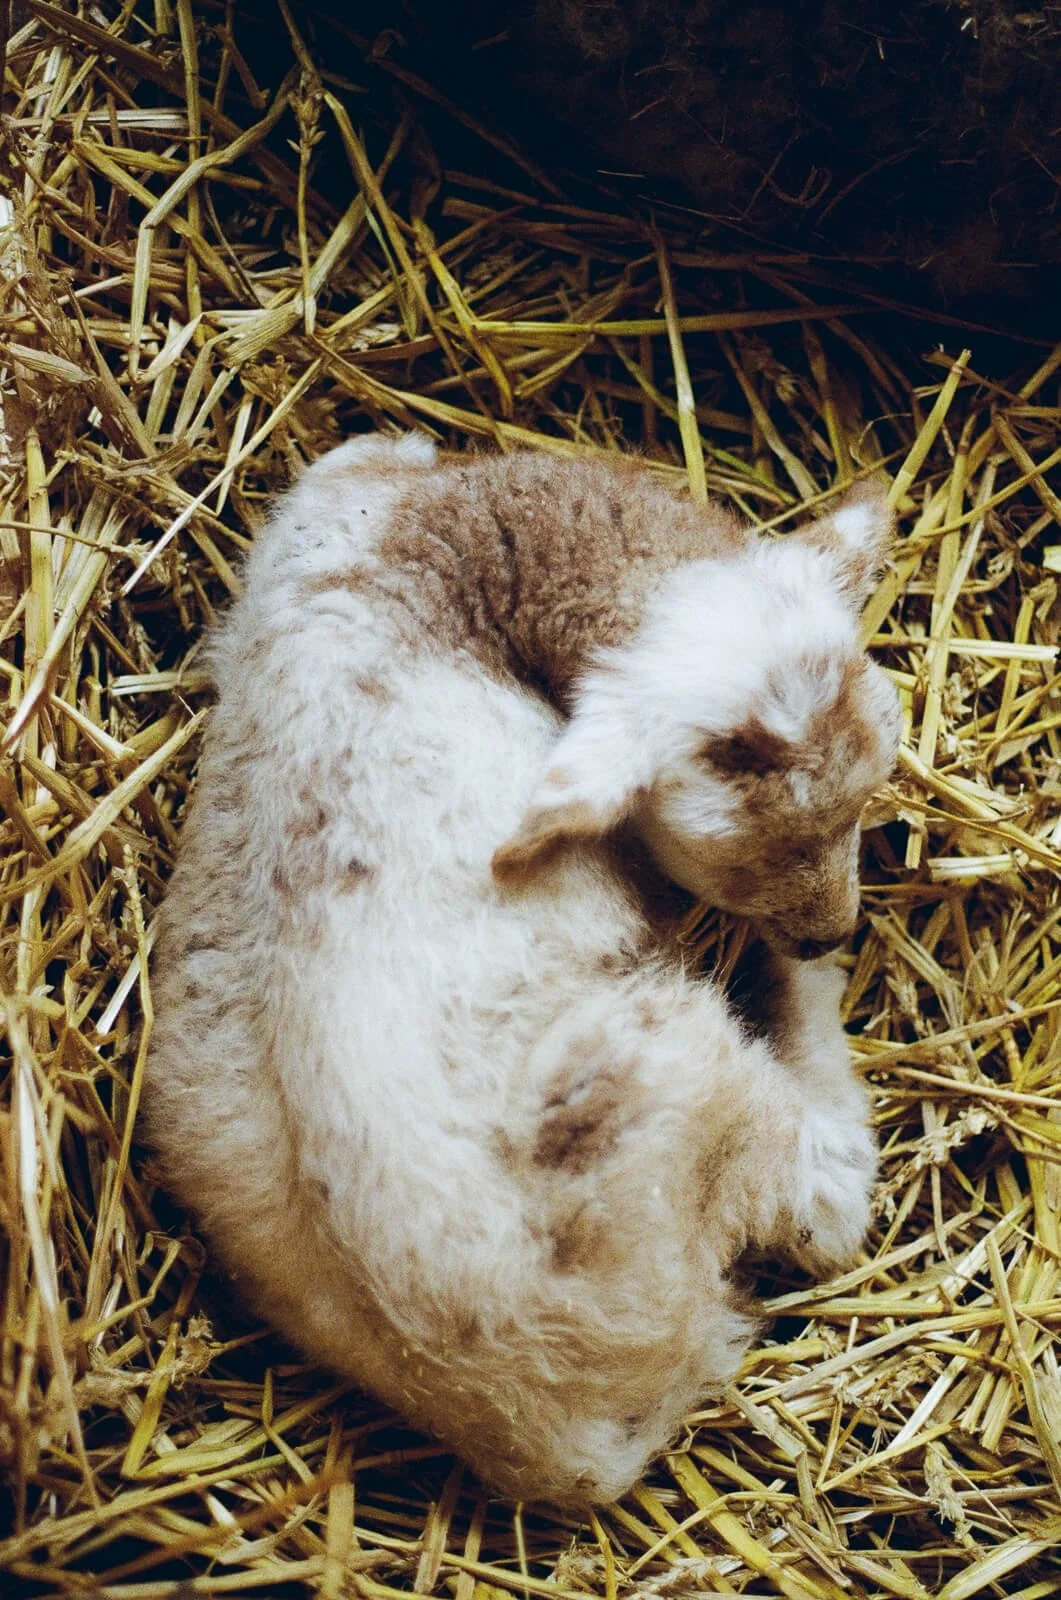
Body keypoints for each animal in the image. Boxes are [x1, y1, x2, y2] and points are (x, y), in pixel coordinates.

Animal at [144, 433, 900, 1504]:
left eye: (869, 787)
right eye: (748, 852)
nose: (827, 931)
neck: (446, 543)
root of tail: (551, 1431)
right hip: (676, 1069)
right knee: (830, 1194)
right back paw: (798, 1001)